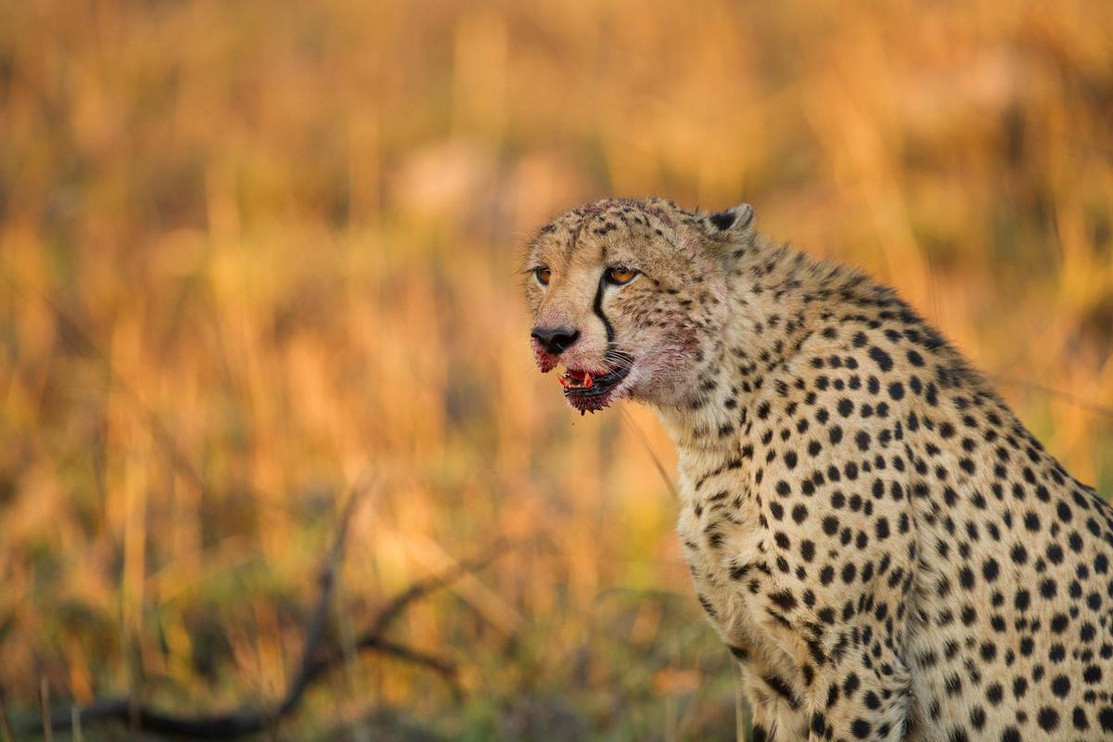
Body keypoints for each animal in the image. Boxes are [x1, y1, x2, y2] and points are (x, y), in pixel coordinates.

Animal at [522, 197, 1113, 741]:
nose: (550, 338)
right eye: (543, 274)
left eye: (621, 274)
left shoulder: (857, 667)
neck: (722, 406)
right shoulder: (770, 673)